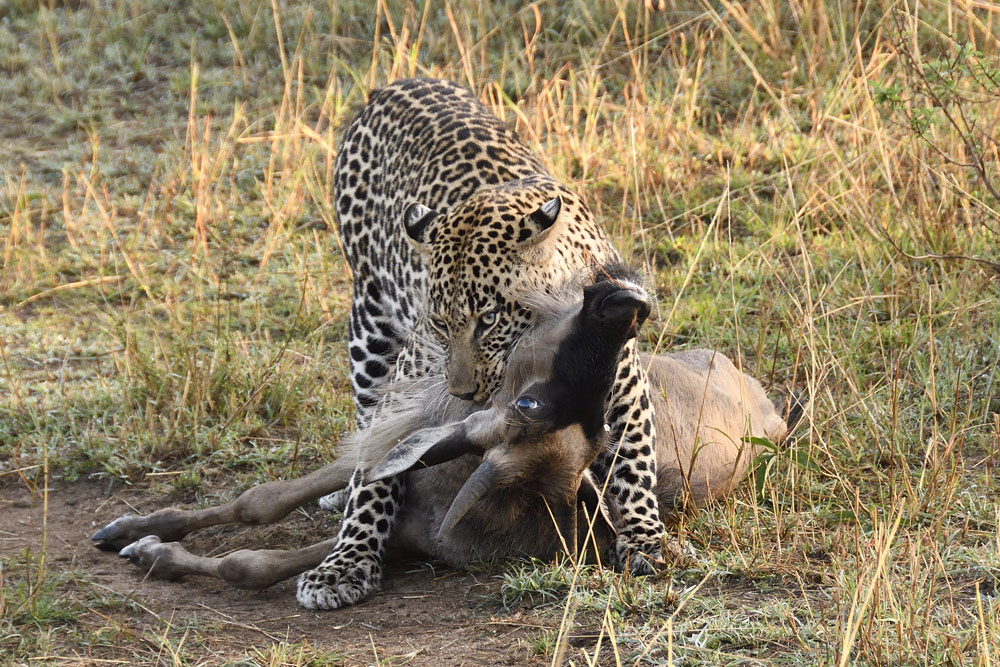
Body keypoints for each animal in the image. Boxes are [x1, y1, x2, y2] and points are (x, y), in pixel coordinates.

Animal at [297, 78, 664, 610]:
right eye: (440, 323)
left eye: (488, 319)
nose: (462, 393)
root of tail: (396, 85)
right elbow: (378, 467)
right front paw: (346, 563)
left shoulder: (622, 381)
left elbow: (633, 455)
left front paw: (644, 537)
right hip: (369, 323)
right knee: (366, 420)